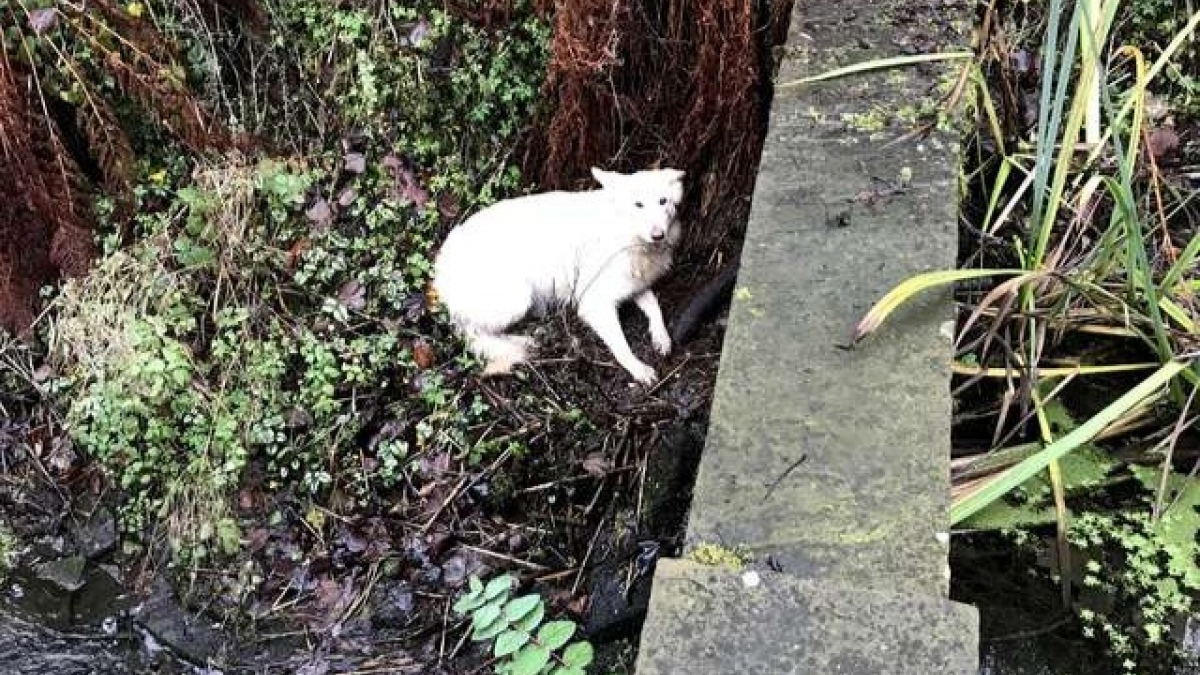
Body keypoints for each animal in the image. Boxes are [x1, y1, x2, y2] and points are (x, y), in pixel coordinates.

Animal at [436, 165, 686, 381]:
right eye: (638, 204)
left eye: (663, 201)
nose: (658, 235)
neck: (629, 237)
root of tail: (441, 266)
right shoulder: (594, 304)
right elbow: (621, 344)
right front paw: (638, 368)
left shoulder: (636, 284)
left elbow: (654, 306)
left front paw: (662, 337)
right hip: (517, 297)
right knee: (473, 333)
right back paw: (519, 340)